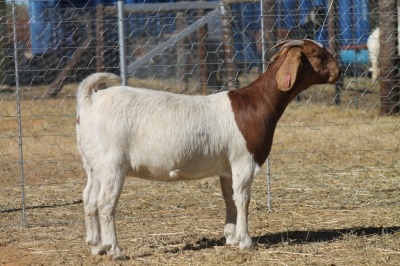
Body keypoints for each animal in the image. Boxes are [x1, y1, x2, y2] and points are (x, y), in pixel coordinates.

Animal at [76, 39, 340, 260]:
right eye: (317, 55)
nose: (338, 72)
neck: (256, 104)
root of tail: (90, 101)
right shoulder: (244, 161)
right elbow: (243, 198)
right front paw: (246, 241)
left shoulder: (227, 168)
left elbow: (229, 198)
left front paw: (231, 237)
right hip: (112, 163)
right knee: (105, 203)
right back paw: (115, 250)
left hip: (93, 164)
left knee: (89, 198)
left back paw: (96, 246)